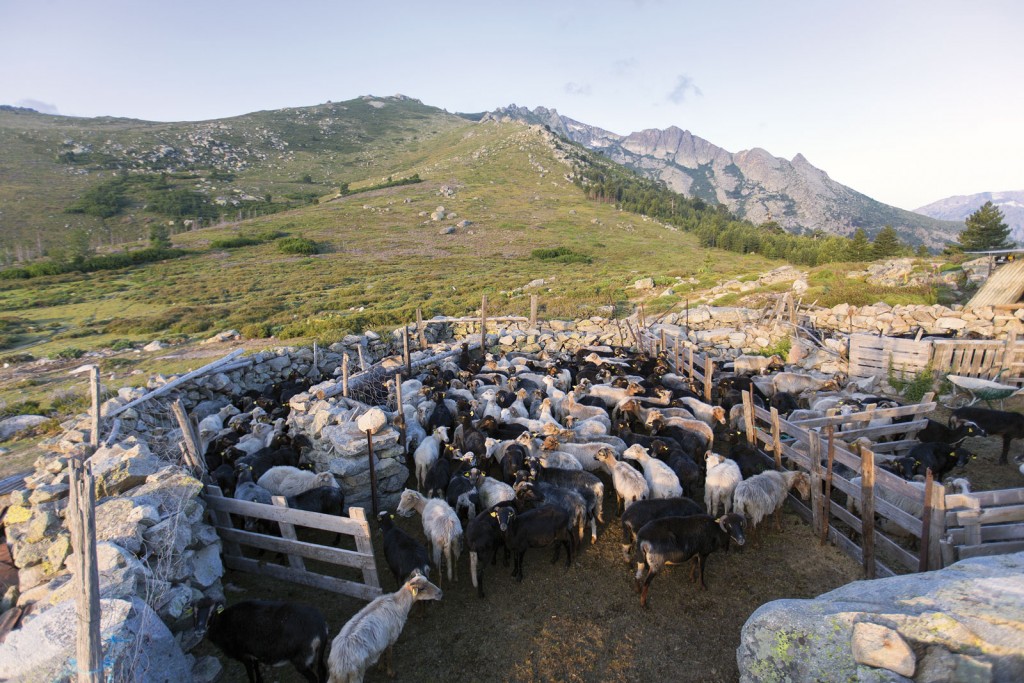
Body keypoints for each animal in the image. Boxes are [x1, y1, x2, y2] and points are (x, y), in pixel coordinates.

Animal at [194, 597, 328, 683]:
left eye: (211, 612)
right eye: (194, 613)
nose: (199, 630)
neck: (222, 624)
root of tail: (320, 628)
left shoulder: (243, 655)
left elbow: (250, 673)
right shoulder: (253, 653)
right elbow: (256, 667)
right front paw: (260, 680)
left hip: (300, 659)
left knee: (314, 679)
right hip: (314, 655)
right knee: (322, 671)